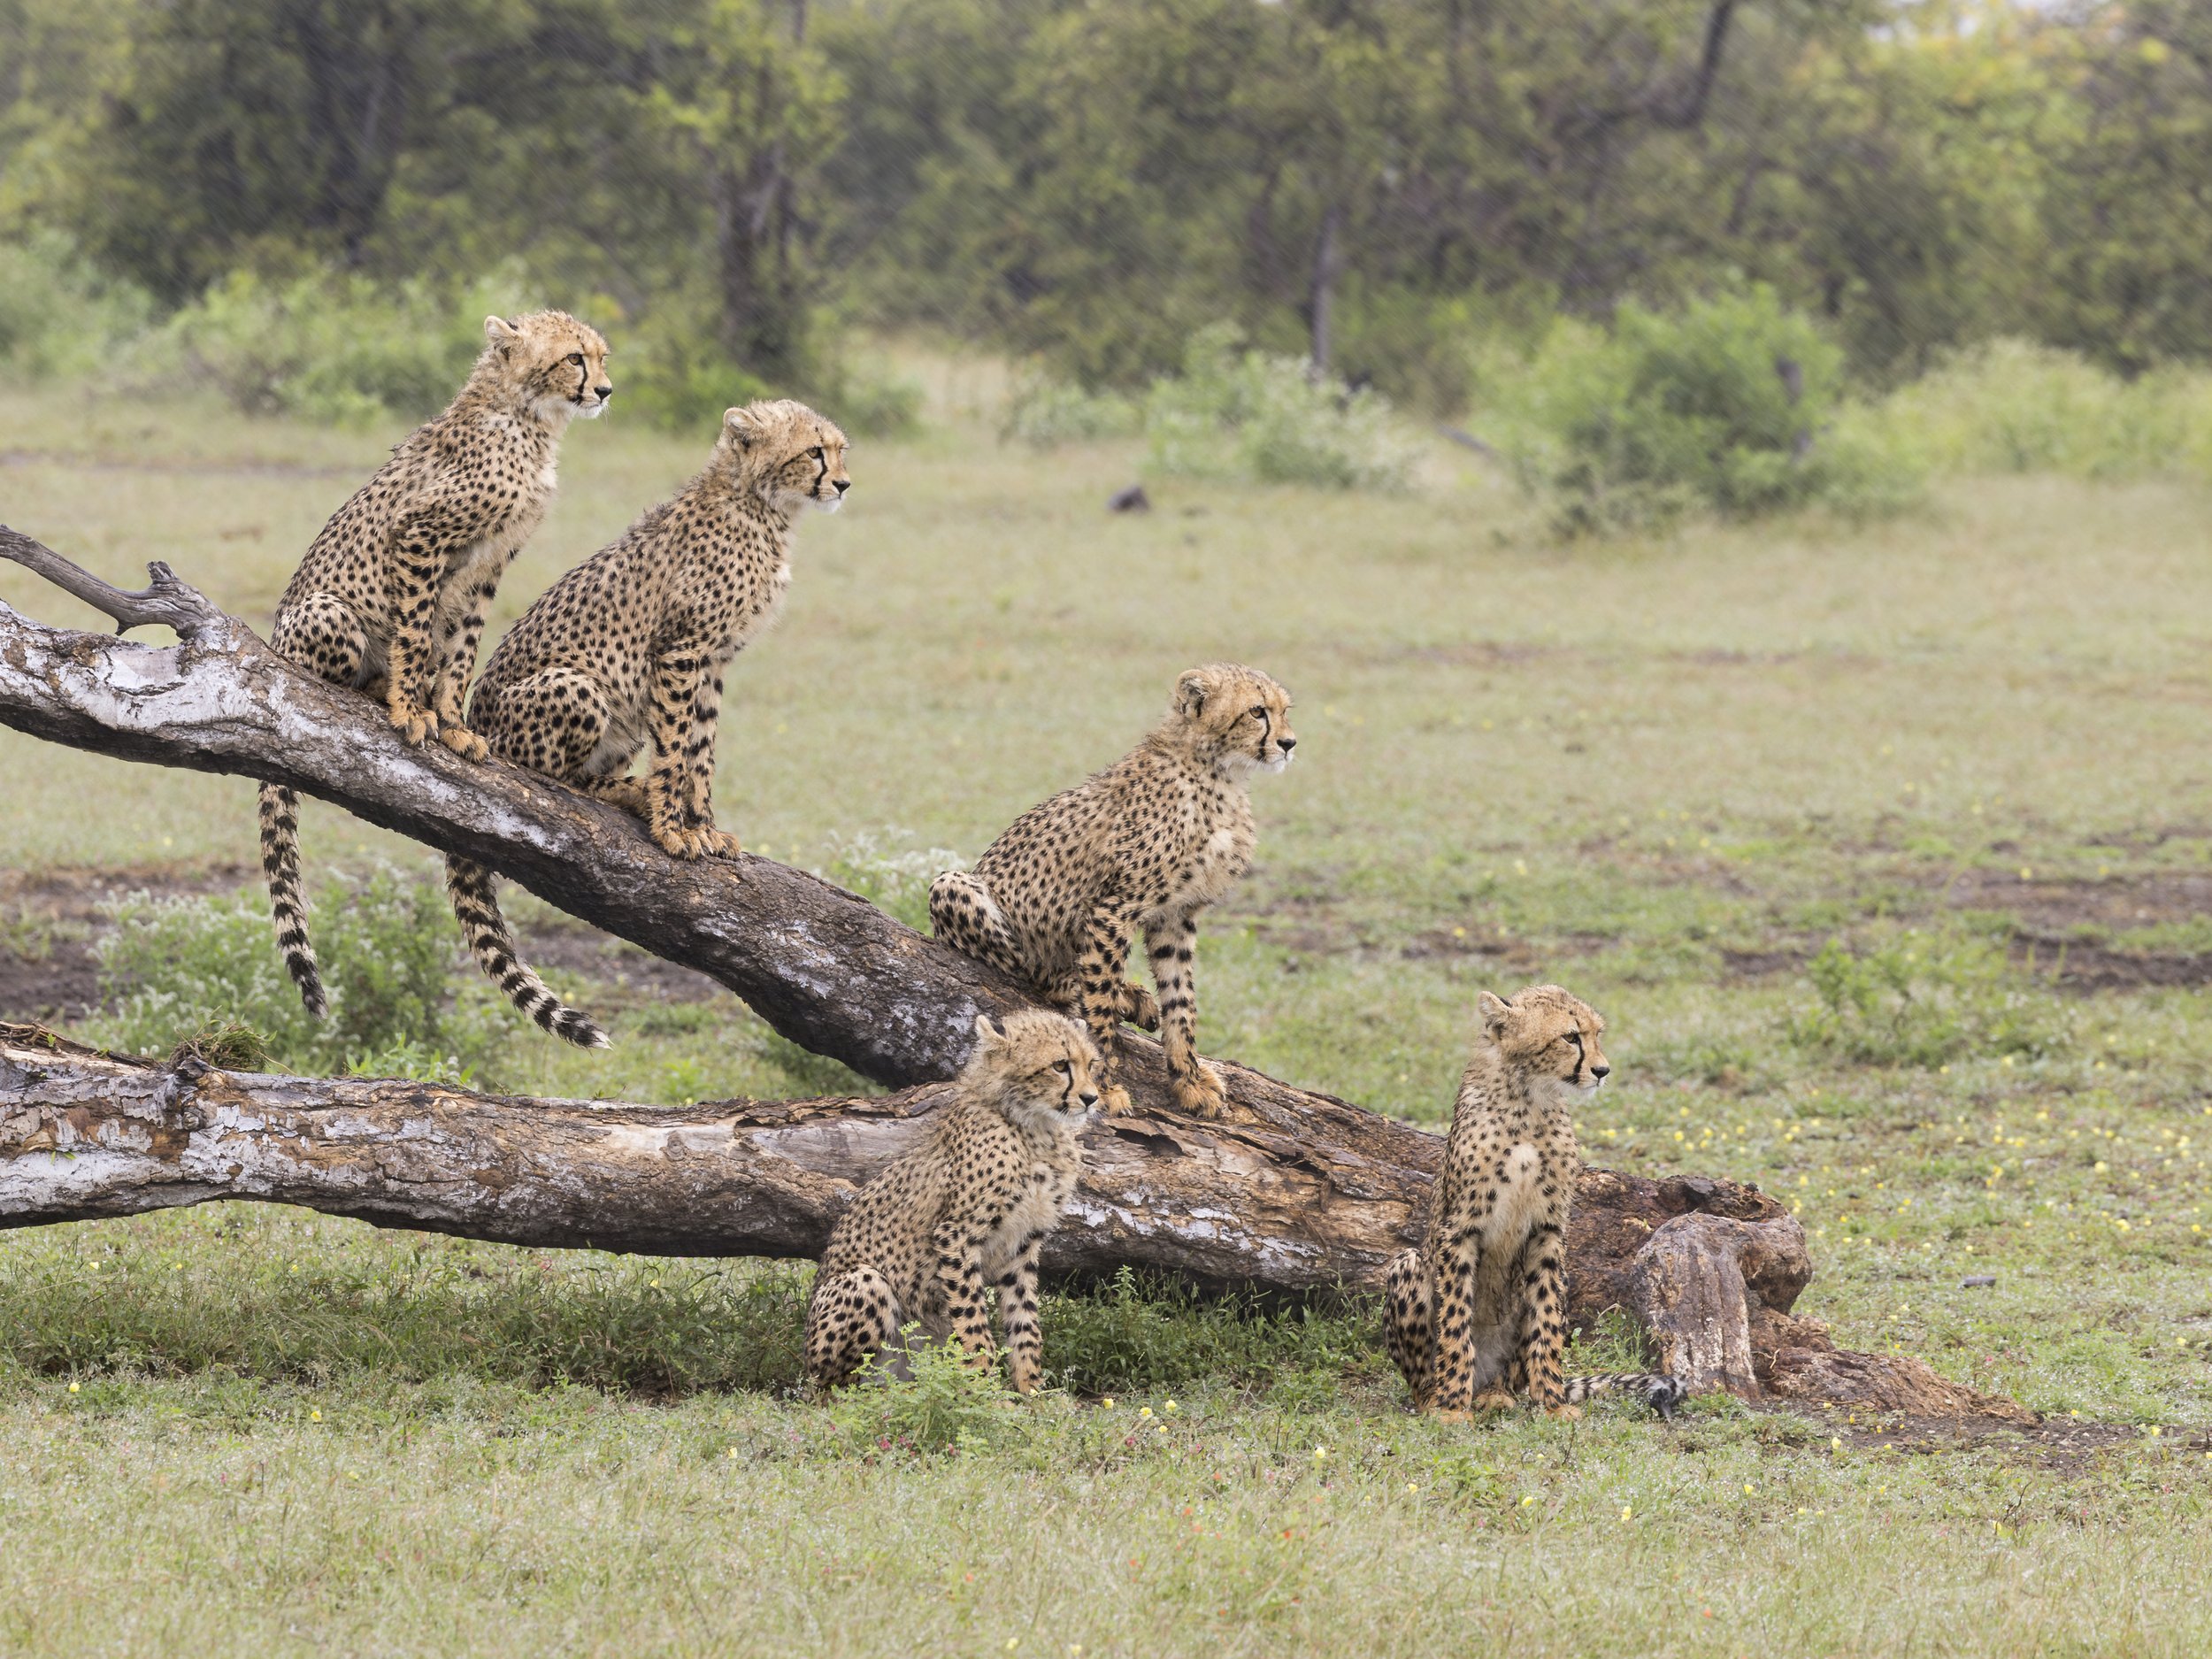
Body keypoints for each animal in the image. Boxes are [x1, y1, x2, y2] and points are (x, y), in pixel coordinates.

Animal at [258, 309, 612, 1018]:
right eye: (574, 359)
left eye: (601, 356)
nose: (606, 390)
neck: (529, 418)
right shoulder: (420, 535)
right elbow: (417, 635)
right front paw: (409, 710)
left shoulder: (486, 564)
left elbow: (461, 650)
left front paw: (453, 723)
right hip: (329, 613)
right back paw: (375, 692)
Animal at [445, 398, 849, 1046]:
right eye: (814, 452)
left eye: (839, 451)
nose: (843, 483)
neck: (762, 507)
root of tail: (473, 718)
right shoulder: (681, 651)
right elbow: (676, 750)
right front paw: (671, 828)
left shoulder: (712, 661)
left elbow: (702, 750)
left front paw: (705, 825)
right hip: (580, 687)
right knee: (549, 778)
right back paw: (626, 794)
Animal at [804, 1008, 1101, 1394]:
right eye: (1060, 1065)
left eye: (1091, 1064)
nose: (1092, 1098)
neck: (1036, 1129)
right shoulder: (956, 1234)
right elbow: (973, 1319)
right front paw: (986, 1390)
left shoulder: (1022, 1245)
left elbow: (1025, 1321)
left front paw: (1032, 1389)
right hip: (864, 1282)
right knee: (838, 1391)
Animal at [927, 662, 1295, 1120]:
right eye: (1257, 711)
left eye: (1284, 711)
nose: (1289, 743)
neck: (1219, 774)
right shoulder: (1111, 911)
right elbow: (1097, 1009)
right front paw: (1103, 1086)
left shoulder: (1175, 917)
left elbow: (1181, 1001)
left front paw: (1188, 1080)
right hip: (952, 885)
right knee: (1043, 976)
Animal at [1383, 985, 1685, 1421]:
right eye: (1570, 1037)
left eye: (1596, 1034)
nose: (1603, 1071)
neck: (1529, 1101)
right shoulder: (1459, 1229)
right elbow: (1455, 1320)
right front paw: (1452, 1407)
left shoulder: (1549, 1230)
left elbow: (1546, 1320)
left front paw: (1555, 1404)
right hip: (1406, 1265)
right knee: (1422, 1371)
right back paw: (1438, 1396)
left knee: (1515, 1368)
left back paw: (1498, 1394)